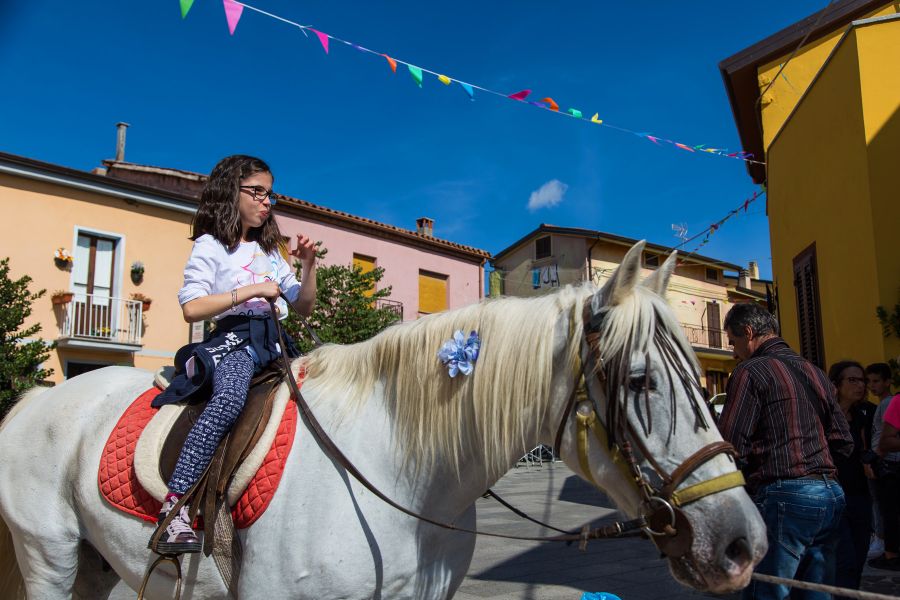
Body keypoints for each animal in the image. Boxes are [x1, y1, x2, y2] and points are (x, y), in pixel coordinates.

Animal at [0, 241, 768, 596]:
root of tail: (36, 400)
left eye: (704, 381)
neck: (397, 469)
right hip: (48, 554)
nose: (745, 544)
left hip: (102, 563)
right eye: (639, 381)